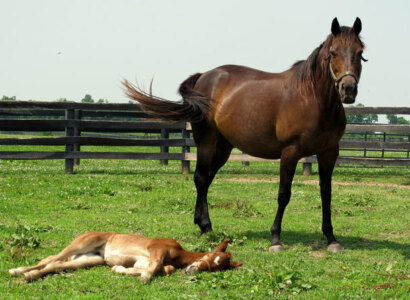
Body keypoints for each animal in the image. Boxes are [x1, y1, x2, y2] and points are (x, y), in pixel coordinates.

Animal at [123, 18, 366, 253]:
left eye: (360, 52)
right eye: (333, 53)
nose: (348, 89)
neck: (311, 98)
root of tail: (204, 77)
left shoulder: (329, 153)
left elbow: (326, 194)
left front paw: (331, 238)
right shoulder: (290, 152)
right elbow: (283, 194)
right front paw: (275, 239)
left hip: (223, 148)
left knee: (207, 180)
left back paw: (201, 223)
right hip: (206, 141)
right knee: (200, 178)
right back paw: (206, 227)